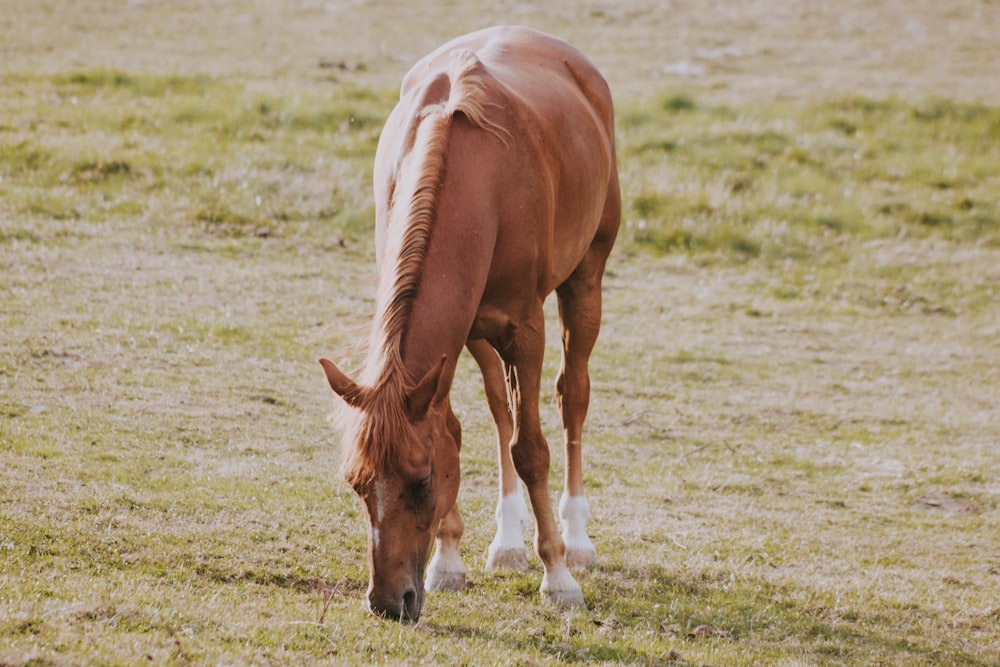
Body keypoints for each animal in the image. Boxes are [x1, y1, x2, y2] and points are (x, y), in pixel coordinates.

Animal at [320, 24, 616, 620]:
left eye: (421, 481)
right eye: (357, 485)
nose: (389, 602)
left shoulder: (525, 330)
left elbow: (531, 450)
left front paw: (558, 576)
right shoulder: (448, 346)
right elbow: (457, 429)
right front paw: (449, 561)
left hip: (586, 279)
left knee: (571, 397)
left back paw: (576, 538)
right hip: (476, 331)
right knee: (501, 410)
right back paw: (506, 543)